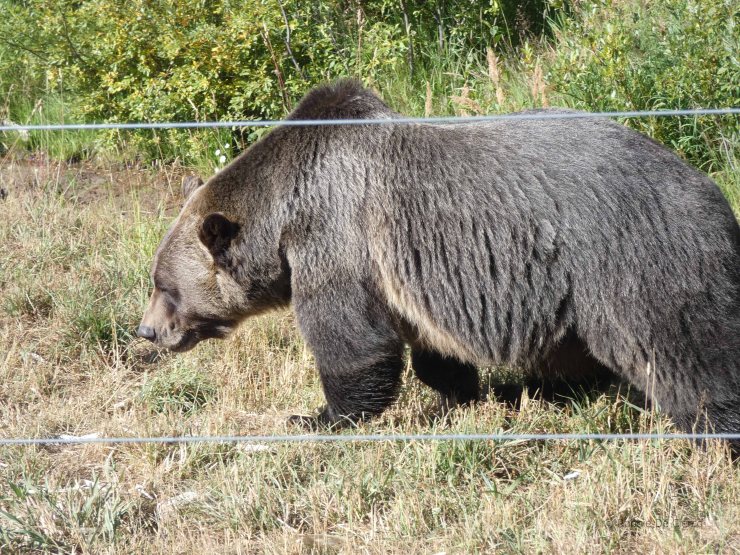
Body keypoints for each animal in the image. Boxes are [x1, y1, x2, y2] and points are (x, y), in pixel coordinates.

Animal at [138, 80, 740, 449]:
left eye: (165, 286)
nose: (147, 331)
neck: (283, 215)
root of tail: (705, 187)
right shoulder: (410, 276)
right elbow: (433, 345)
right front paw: (461, 392)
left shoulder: (336, 239)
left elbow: (350, 340)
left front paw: (319, 415)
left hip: (631, 262)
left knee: (686, 354)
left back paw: (714, 430)